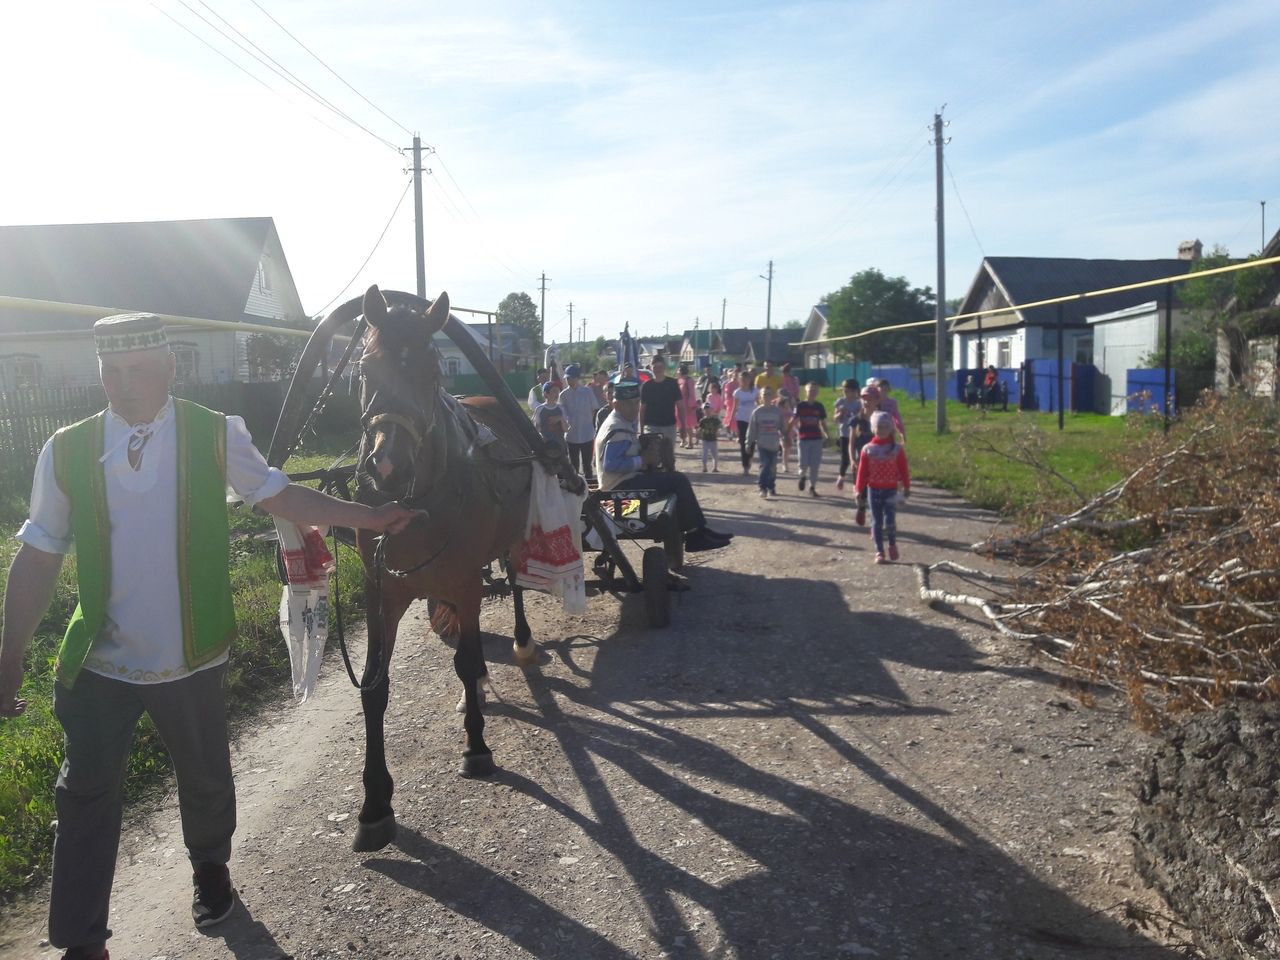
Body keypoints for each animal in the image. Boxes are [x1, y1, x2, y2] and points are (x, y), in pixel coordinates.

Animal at [343, 289, 537, 855]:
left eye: (433, 372)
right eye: (364, 368)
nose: (388, 469)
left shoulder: (465, 582)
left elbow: (467, 660)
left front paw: (476, 747)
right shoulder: (381, 594)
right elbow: (374, 687)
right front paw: (375, 805)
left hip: (511, 542)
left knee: (516, 585)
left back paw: (521, 641)